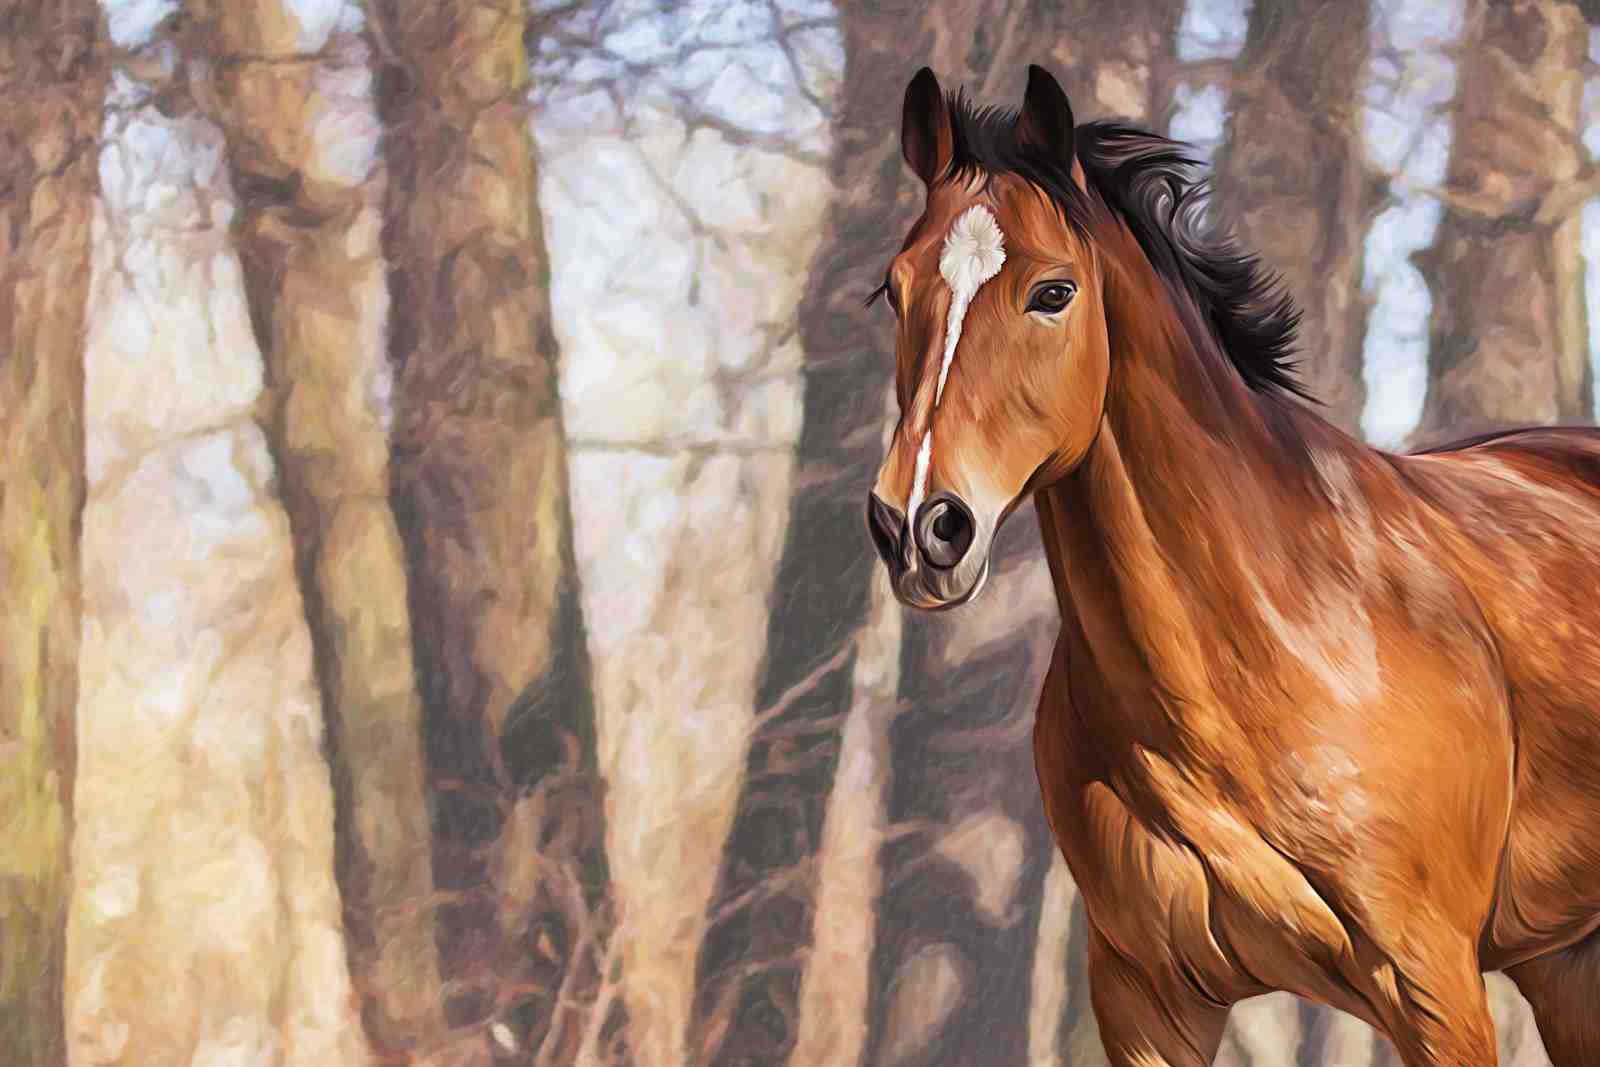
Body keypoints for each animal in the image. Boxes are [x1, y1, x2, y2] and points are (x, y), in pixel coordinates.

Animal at [863, 64, 1600, 1067]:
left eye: (1053, 292)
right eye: (894, 290)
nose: (918, 524)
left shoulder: (1436, 984)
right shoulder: (1147, 996)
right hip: (1564, 959)